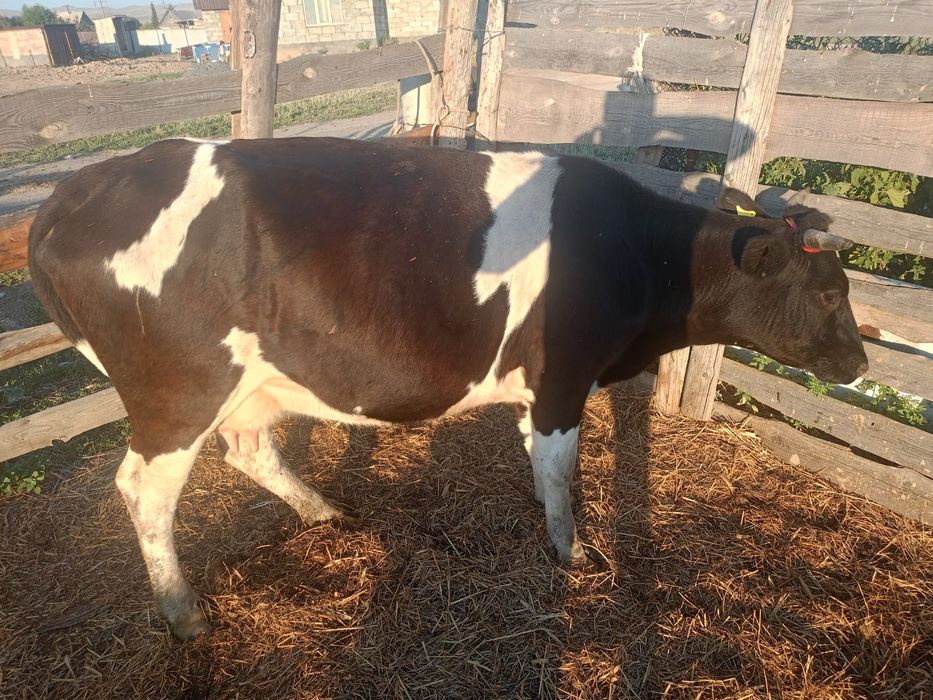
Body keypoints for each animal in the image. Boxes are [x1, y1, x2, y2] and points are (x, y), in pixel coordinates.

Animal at [28, 137, 867, 639]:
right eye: (829, 292)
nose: (859, 363)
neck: (632, 252)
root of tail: (78, 190)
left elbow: (540, 461)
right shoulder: (563, 375)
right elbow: (559, 470)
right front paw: (572, 550)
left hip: (245, 383)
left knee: (248, 451)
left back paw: (323, 511)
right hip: (180, 391)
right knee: (144, 490)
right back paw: (182, 611)